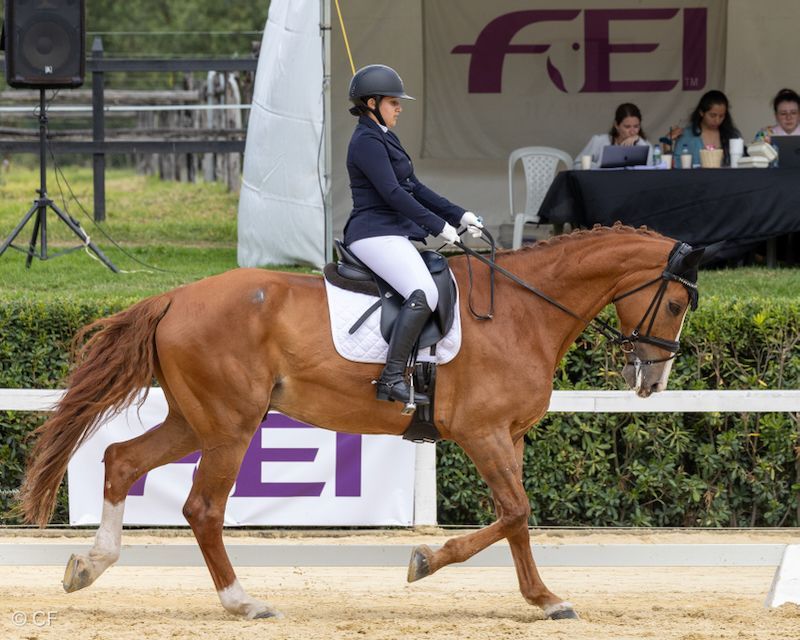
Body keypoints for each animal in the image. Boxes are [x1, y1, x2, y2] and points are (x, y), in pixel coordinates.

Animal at [19, 224, 704, 621]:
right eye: (674, 302)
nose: (652, 381)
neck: (521, 310)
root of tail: (174, 297)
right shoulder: (483, 433)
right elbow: (516, 512)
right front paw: (444, 566)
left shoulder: (506, 435)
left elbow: (514, 518)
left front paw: (528, 592)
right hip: (230, 426)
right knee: (202, 508)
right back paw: (241, 601)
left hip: (198, 421)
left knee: (121, 460)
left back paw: (89, 566)